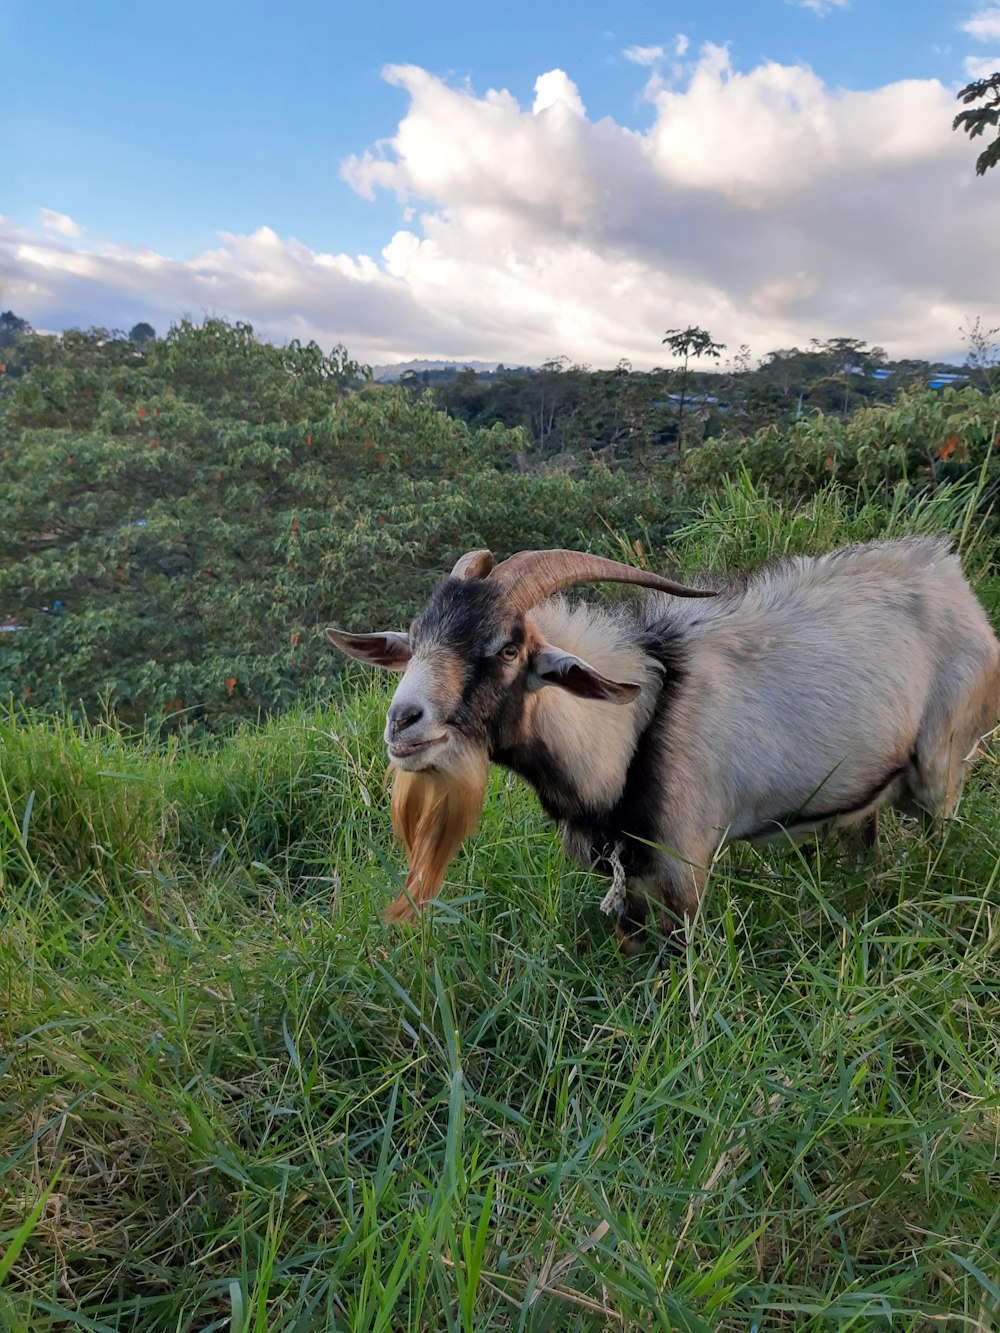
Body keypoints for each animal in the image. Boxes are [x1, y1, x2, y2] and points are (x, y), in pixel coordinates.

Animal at [330, 535, 1000, 943]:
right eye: (416, 638)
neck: (631, 732)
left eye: (509, 649)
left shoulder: (685, 867)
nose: (403, 723)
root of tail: (950, 577)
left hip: (942, 769)